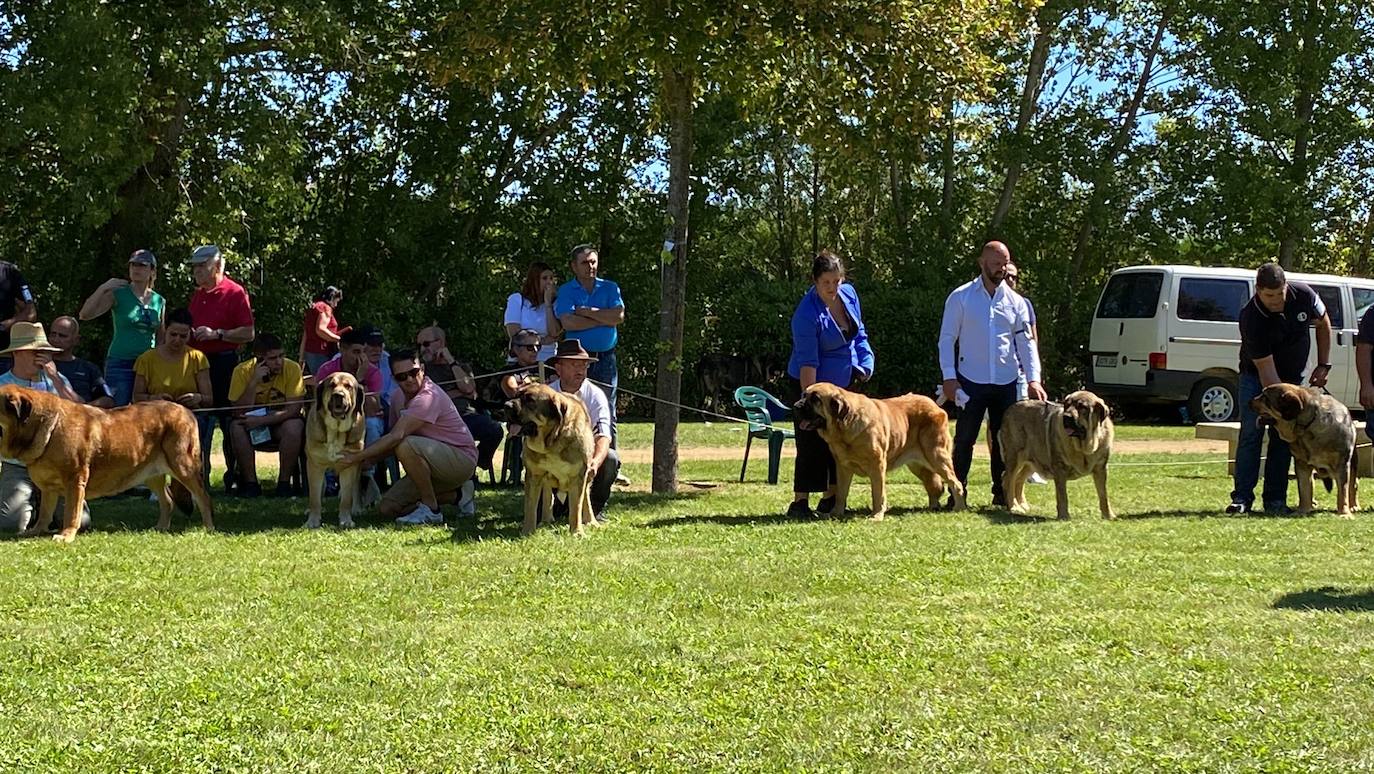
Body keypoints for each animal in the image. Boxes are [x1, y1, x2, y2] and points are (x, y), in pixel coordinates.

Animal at [0, 384, 214, 541]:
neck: (44, 427)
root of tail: (187, 411)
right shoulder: (48, 488)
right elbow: (45, 512)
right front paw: (36, 531)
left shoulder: (75, 480)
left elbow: (72, 512)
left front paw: (66, 536)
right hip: (150, 473)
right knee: (167, 500)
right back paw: (160, 527)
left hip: (183, 466)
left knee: (203, 497)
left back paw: (208, 528)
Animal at [502, 384, 593, 536]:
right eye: (516, 395)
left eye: (530, 400)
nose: (506, 405)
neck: (552, 441)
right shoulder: (533, 475)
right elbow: (530, 507)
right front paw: (527, 531)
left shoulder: (578, 476)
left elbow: (576, 507)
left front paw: (577, 532)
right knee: (547, 494)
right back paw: (546, 520)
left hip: (589, 472)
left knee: (586, 496)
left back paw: (592, 522)